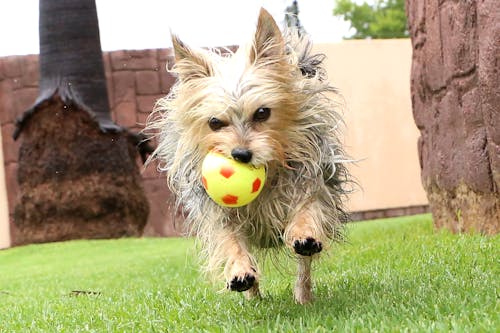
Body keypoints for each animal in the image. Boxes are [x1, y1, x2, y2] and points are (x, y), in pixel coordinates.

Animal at [148, 7, 352, 304]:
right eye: (214, 122)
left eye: (262, 113)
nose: (241, 154)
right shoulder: (218, 214)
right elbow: (230, 240)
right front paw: (240, 272)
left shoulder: (311, 182)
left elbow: (308, 209)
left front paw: (304, 232)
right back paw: (253, 296)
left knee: (304, 267)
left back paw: (303, 295)